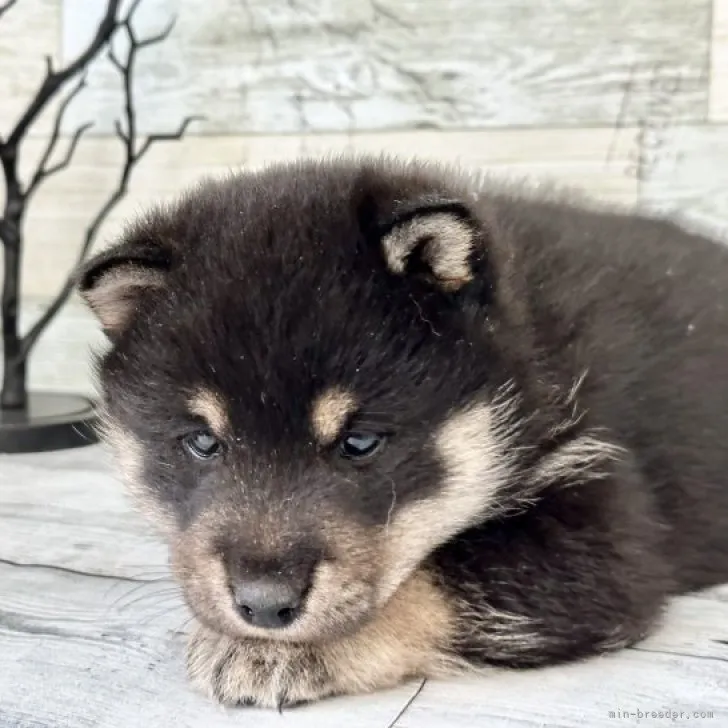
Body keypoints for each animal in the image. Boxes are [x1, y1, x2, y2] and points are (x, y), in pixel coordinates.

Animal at [77, 156, 728, 708]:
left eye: (359, 442)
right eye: (203, 442)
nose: (264, 606)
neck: (527, 355)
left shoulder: (602, 517)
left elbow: (434, 582)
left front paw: (275, 652)